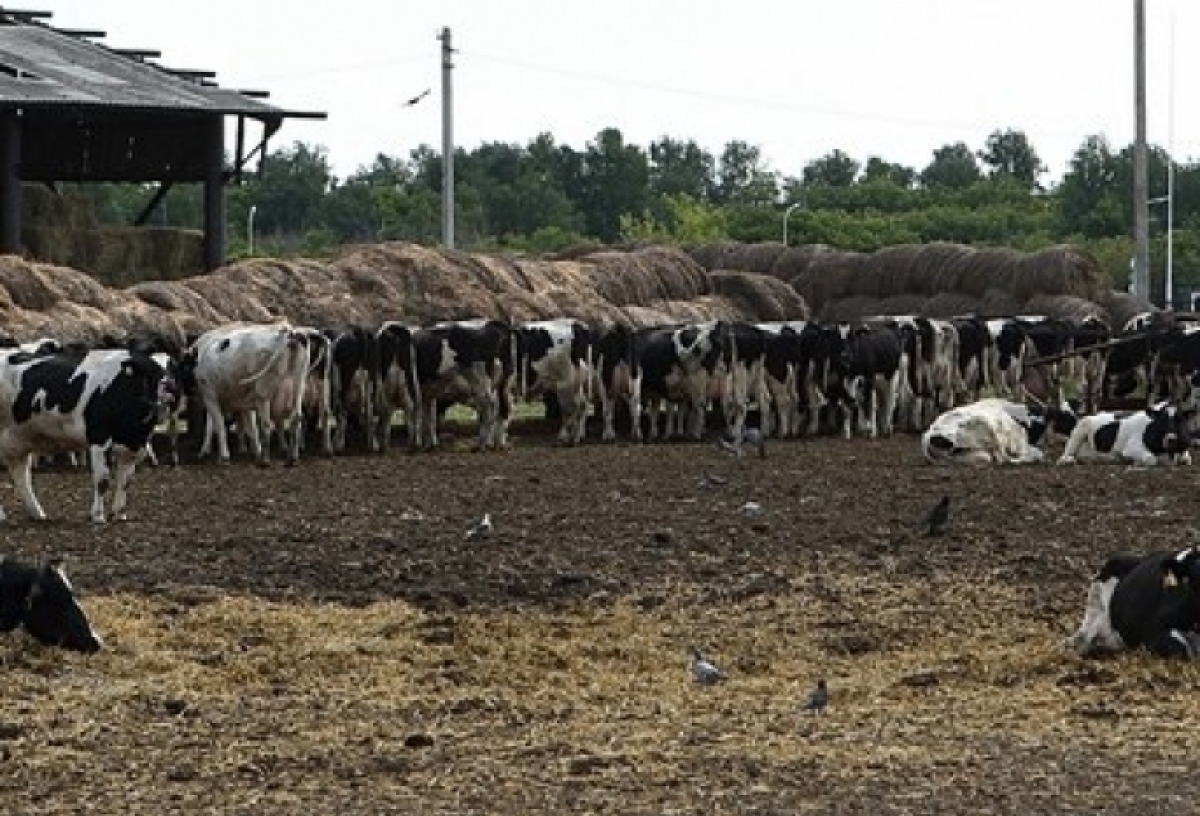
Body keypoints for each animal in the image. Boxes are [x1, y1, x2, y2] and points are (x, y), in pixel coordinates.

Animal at [1056, 400, 1195, 465]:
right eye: (1161, 421)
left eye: (1180, 420)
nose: (1171, 439)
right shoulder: (1131, 448)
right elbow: (1151, 459)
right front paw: (1135, 461)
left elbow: (1187, 459)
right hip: (1080, 429)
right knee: (1065, 455)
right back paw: (1068, 461)